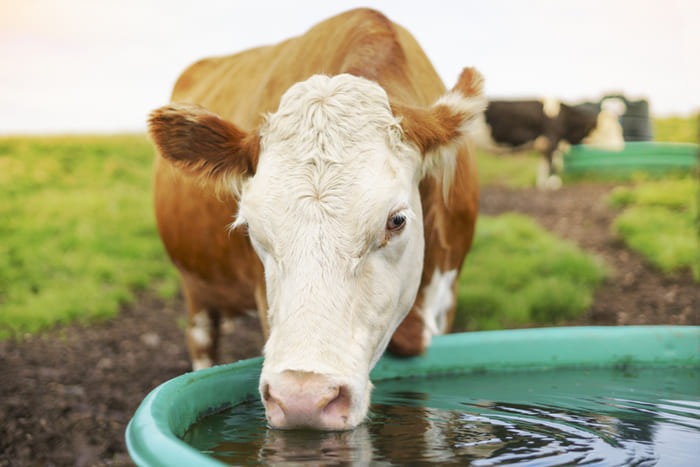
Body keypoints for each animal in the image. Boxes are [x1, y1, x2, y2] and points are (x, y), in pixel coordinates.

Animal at [470, 98, 624, 188]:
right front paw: (553, 183)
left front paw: (542, 184)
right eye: (607, 131)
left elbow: (543, 164)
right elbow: (551, 163)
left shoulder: (543, 145)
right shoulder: (552, 140)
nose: (620, 146)